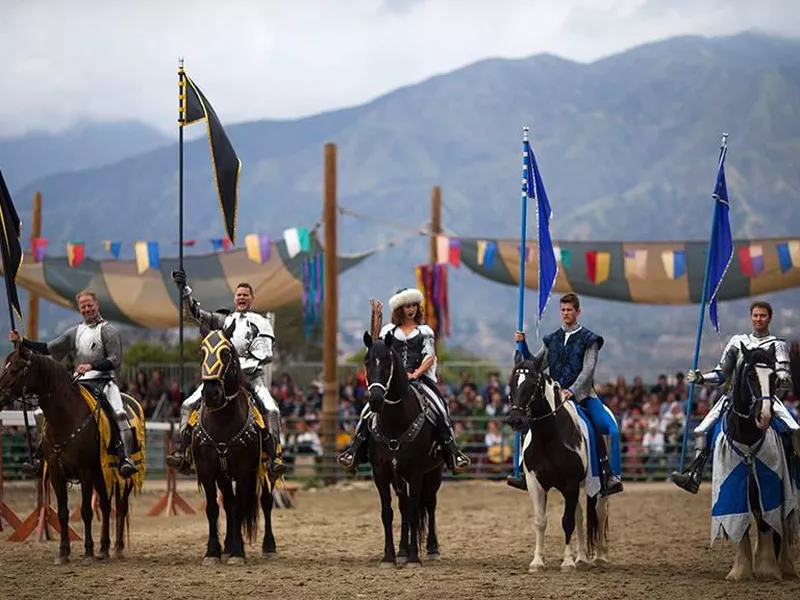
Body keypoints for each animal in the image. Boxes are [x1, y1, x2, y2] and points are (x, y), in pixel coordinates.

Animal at [0, 344, 145, 564]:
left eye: (16, 369)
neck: (66, 417)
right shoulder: (56, 474)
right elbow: (62, 513)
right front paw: (63, 552)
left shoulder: (85, 473)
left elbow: (86, 511)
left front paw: (88, 551)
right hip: (102, 474)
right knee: (105, 505)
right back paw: (104, 548)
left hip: (122, 475)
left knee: (120, 506)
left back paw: (118, 548)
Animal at [362, 330, 444, 568]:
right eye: (367, 361)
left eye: (388, 361)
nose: (376, 400)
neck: (395, 423)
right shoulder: (381, 474)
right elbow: (388, 513)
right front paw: (389, 556)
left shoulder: (416, 472)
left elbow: (416, 510)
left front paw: (414, 557)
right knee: (404, 507)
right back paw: (401, 550)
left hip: (433, 473)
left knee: (429, 504)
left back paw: (431, 549)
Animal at [504, 354, 608, 576]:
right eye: (511, 384)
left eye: (532, 385)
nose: (515, 420)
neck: (548, 438)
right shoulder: (535, 484)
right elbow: (540, 521)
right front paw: (537, 562)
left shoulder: (570, 484)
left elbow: (567, 522)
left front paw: (567, 563)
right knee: (580, 515)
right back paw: (582, 558)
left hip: (597, 488)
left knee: (600, 512)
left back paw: (600, 557)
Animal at [708, 344, 796, 584]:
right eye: (750, 375)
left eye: (774, 377)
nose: (764, 416)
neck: (747, 437)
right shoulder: (735, 487)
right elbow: (744, 523)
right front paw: (741, 571)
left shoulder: (767, 485)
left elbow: (767, 522)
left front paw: (768, 570)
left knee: (782, 521)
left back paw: (785, 565)